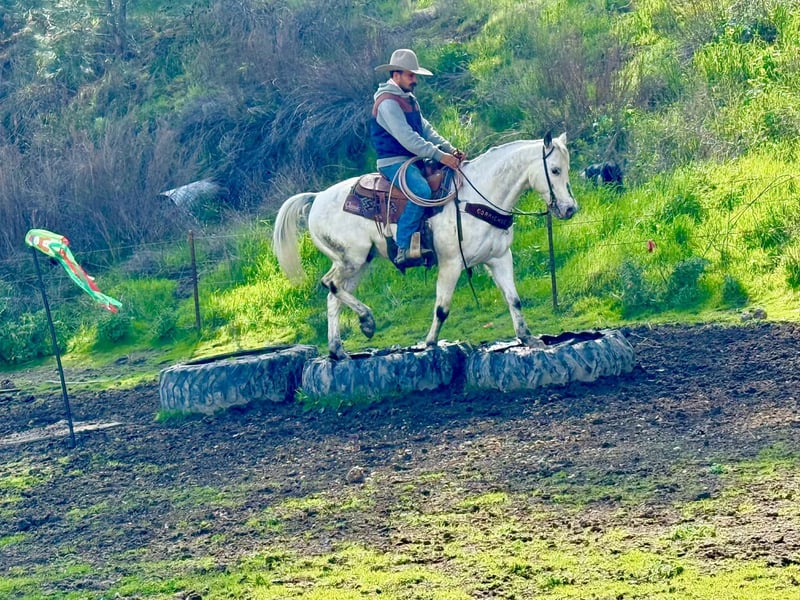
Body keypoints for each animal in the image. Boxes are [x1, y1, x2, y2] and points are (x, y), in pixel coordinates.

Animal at [273, 131, 578, 360]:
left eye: (567, 169)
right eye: (554, 170)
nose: (569, 209)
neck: (477, 196)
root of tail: (317, 197)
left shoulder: (500, 258)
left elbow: (513, 299)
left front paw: (528, 337)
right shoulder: (452, 263)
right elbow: (442, 308)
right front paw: (429, 343)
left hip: (358, 263)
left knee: (333, 295)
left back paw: (339, 350)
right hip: (352, 259)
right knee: (331, 284)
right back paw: (367, 321)